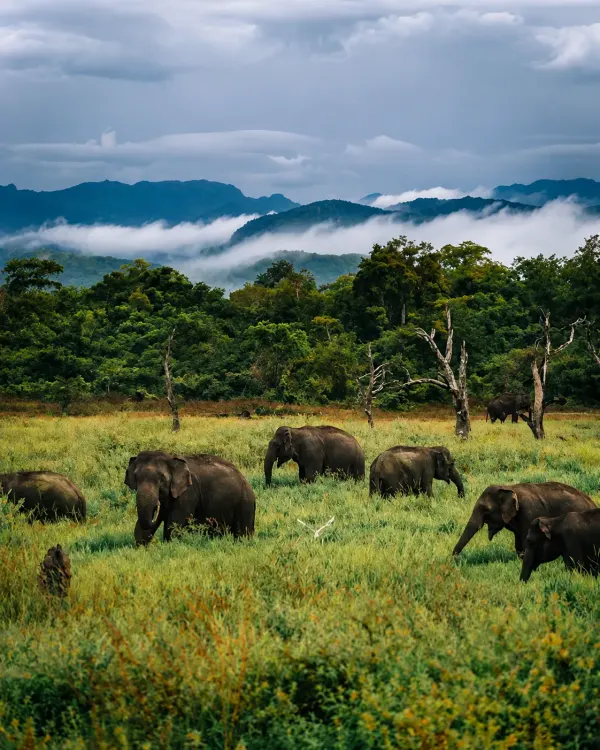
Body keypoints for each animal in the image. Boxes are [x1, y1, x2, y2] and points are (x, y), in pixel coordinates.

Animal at [125, 451, 255, 545]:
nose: (157, 507)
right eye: (136, 478)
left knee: (243, 531)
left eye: (162, 479)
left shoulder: (189, 493)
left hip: (245, 503)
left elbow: (175, 523)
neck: (171, 458)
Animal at [452, 482, 595, 558]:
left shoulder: (529, 513)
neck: (508, 487)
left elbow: (527, 541)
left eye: (485, 509)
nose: (453, 558)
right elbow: (518, 543)